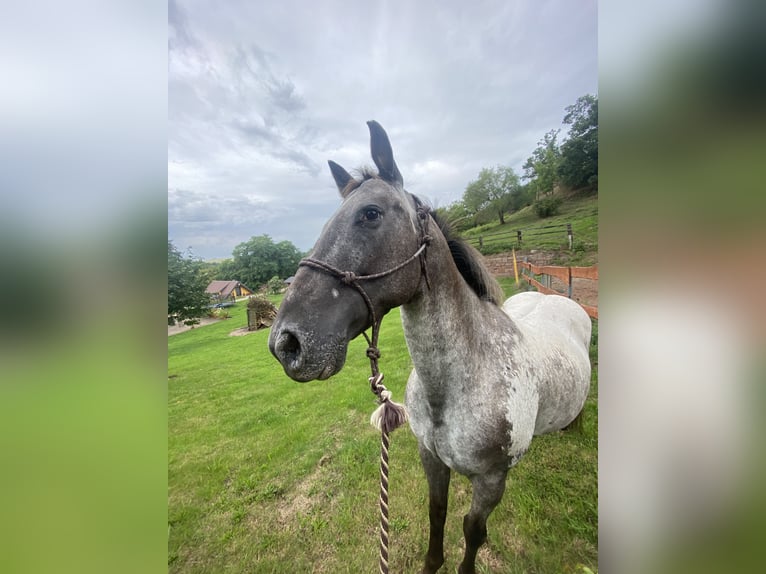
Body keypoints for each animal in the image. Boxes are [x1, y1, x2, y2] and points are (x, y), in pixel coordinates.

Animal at [270, 121, 592, 574]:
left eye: (371, 213)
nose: (286, 343)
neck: (459, 385)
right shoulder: (432, 459)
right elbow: (436, 513)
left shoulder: (491, 480)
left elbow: (473, 530)